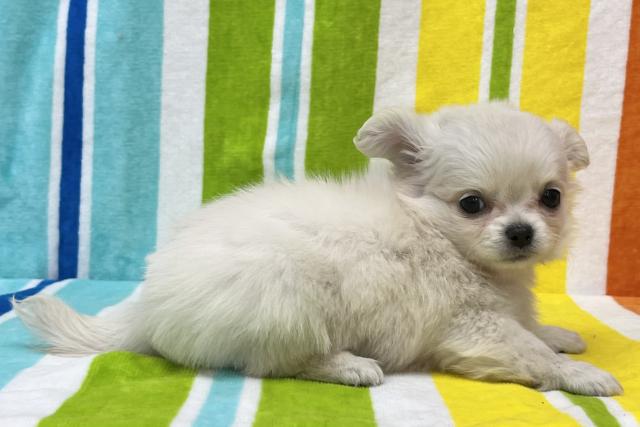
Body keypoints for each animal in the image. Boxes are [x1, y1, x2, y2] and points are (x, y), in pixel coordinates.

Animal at [15, 102, 622, 396]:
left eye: (551, 197)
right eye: (472, 204)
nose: (520, 232)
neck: (440, 236)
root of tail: (145, 307)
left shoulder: (503, 309)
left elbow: (534, 330)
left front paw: (561, 334)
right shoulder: (475, 328)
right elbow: (529, 352)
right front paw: (581, 376)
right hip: (289, 302)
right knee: (276, 364)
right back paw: (350, 366)